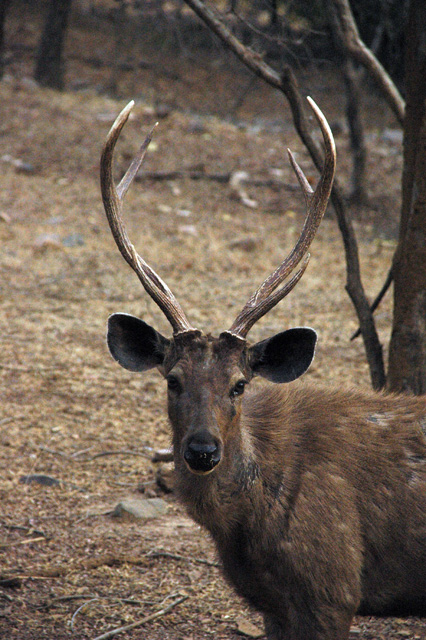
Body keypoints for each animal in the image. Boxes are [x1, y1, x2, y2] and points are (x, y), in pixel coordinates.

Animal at [100, 98, 426, 640]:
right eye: (172, 380)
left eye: (239, 385)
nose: (203, 450)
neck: (252, 531)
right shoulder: (273, 605)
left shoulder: (333, 589)